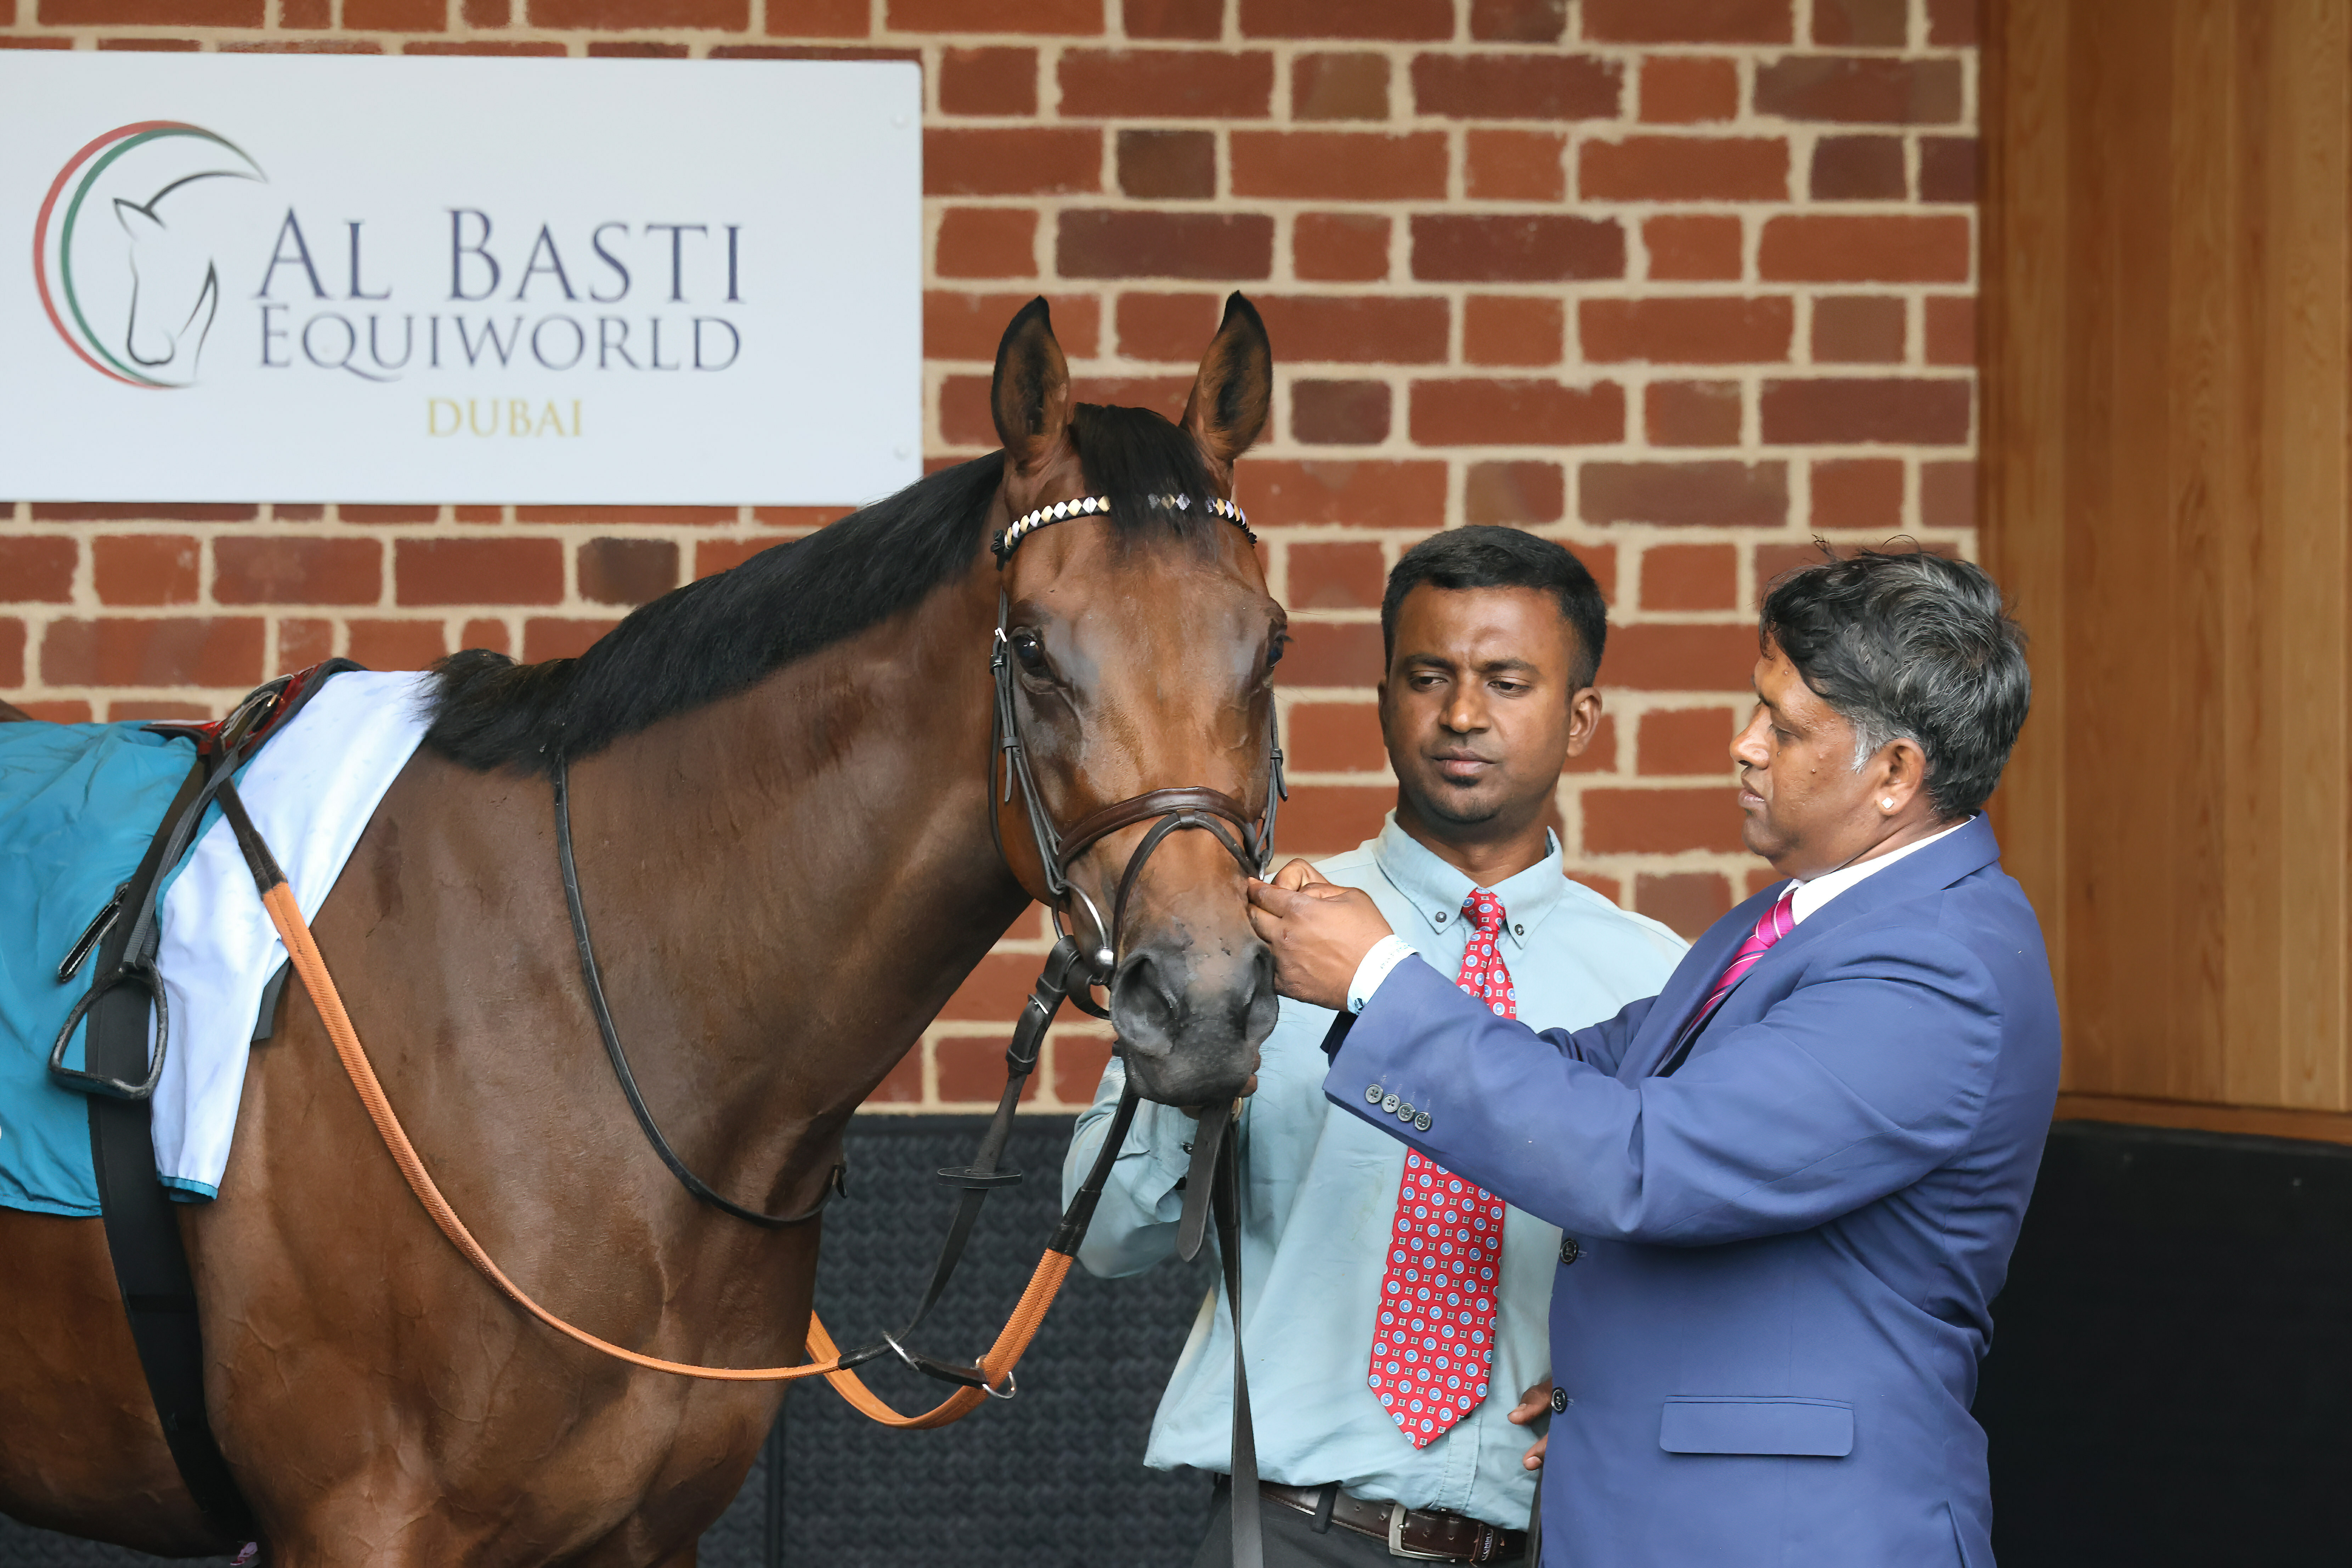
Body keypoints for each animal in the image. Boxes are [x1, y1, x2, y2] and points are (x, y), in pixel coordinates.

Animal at [0, 293, 1283, 1565]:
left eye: (1270, 642)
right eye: (1031, 649)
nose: (1205, 1002)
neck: (585, 1012)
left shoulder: (649, 1529)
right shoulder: (354, 1519)